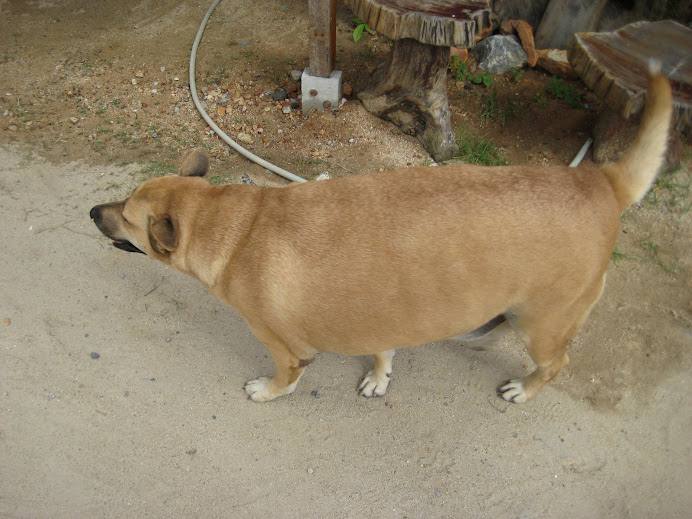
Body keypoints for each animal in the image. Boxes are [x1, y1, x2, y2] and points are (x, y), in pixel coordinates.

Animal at [90, 64, 672, 402]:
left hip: (546, 325)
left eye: (129, 218)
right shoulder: (380, 313)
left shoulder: (285, 349)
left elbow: (285, 378)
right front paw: (378, 375)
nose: (94, 211)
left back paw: (525, 390)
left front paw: (267, 390)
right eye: (124, 201)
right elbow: (382, 349)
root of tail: (601, 180)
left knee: (557, 363)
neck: (232, 224)